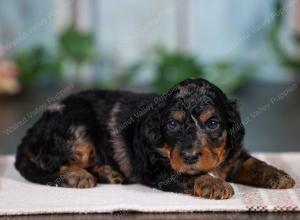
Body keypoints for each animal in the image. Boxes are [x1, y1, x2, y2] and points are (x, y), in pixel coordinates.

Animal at [14, 78, 296, 199]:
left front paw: (279, 176)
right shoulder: (157, 169)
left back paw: (107, 172)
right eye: (172, 124)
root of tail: (31, 132)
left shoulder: (232, 155)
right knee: (52, 161)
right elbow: (189, 175)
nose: (190, 156)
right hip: (77, 131)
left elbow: (251, 162)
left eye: (213, 123)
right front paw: (214, 184)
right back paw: (79, 176)